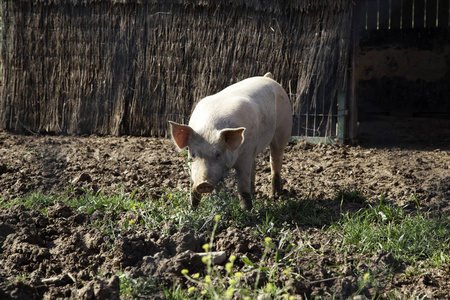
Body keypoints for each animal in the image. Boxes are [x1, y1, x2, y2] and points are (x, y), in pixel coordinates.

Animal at [168, 72, 292, 209]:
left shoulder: (245, 156)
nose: (203, 183)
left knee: (275, 160)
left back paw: (275, 196)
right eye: (193, 155)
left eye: (218, 154)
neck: (209, 129)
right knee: (255, 164)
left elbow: (242, 188)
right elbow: (194, 190)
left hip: (283, 128)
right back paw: (255, 193)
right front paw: (193, 209)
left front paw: (247, 211)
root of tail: (267, 77)